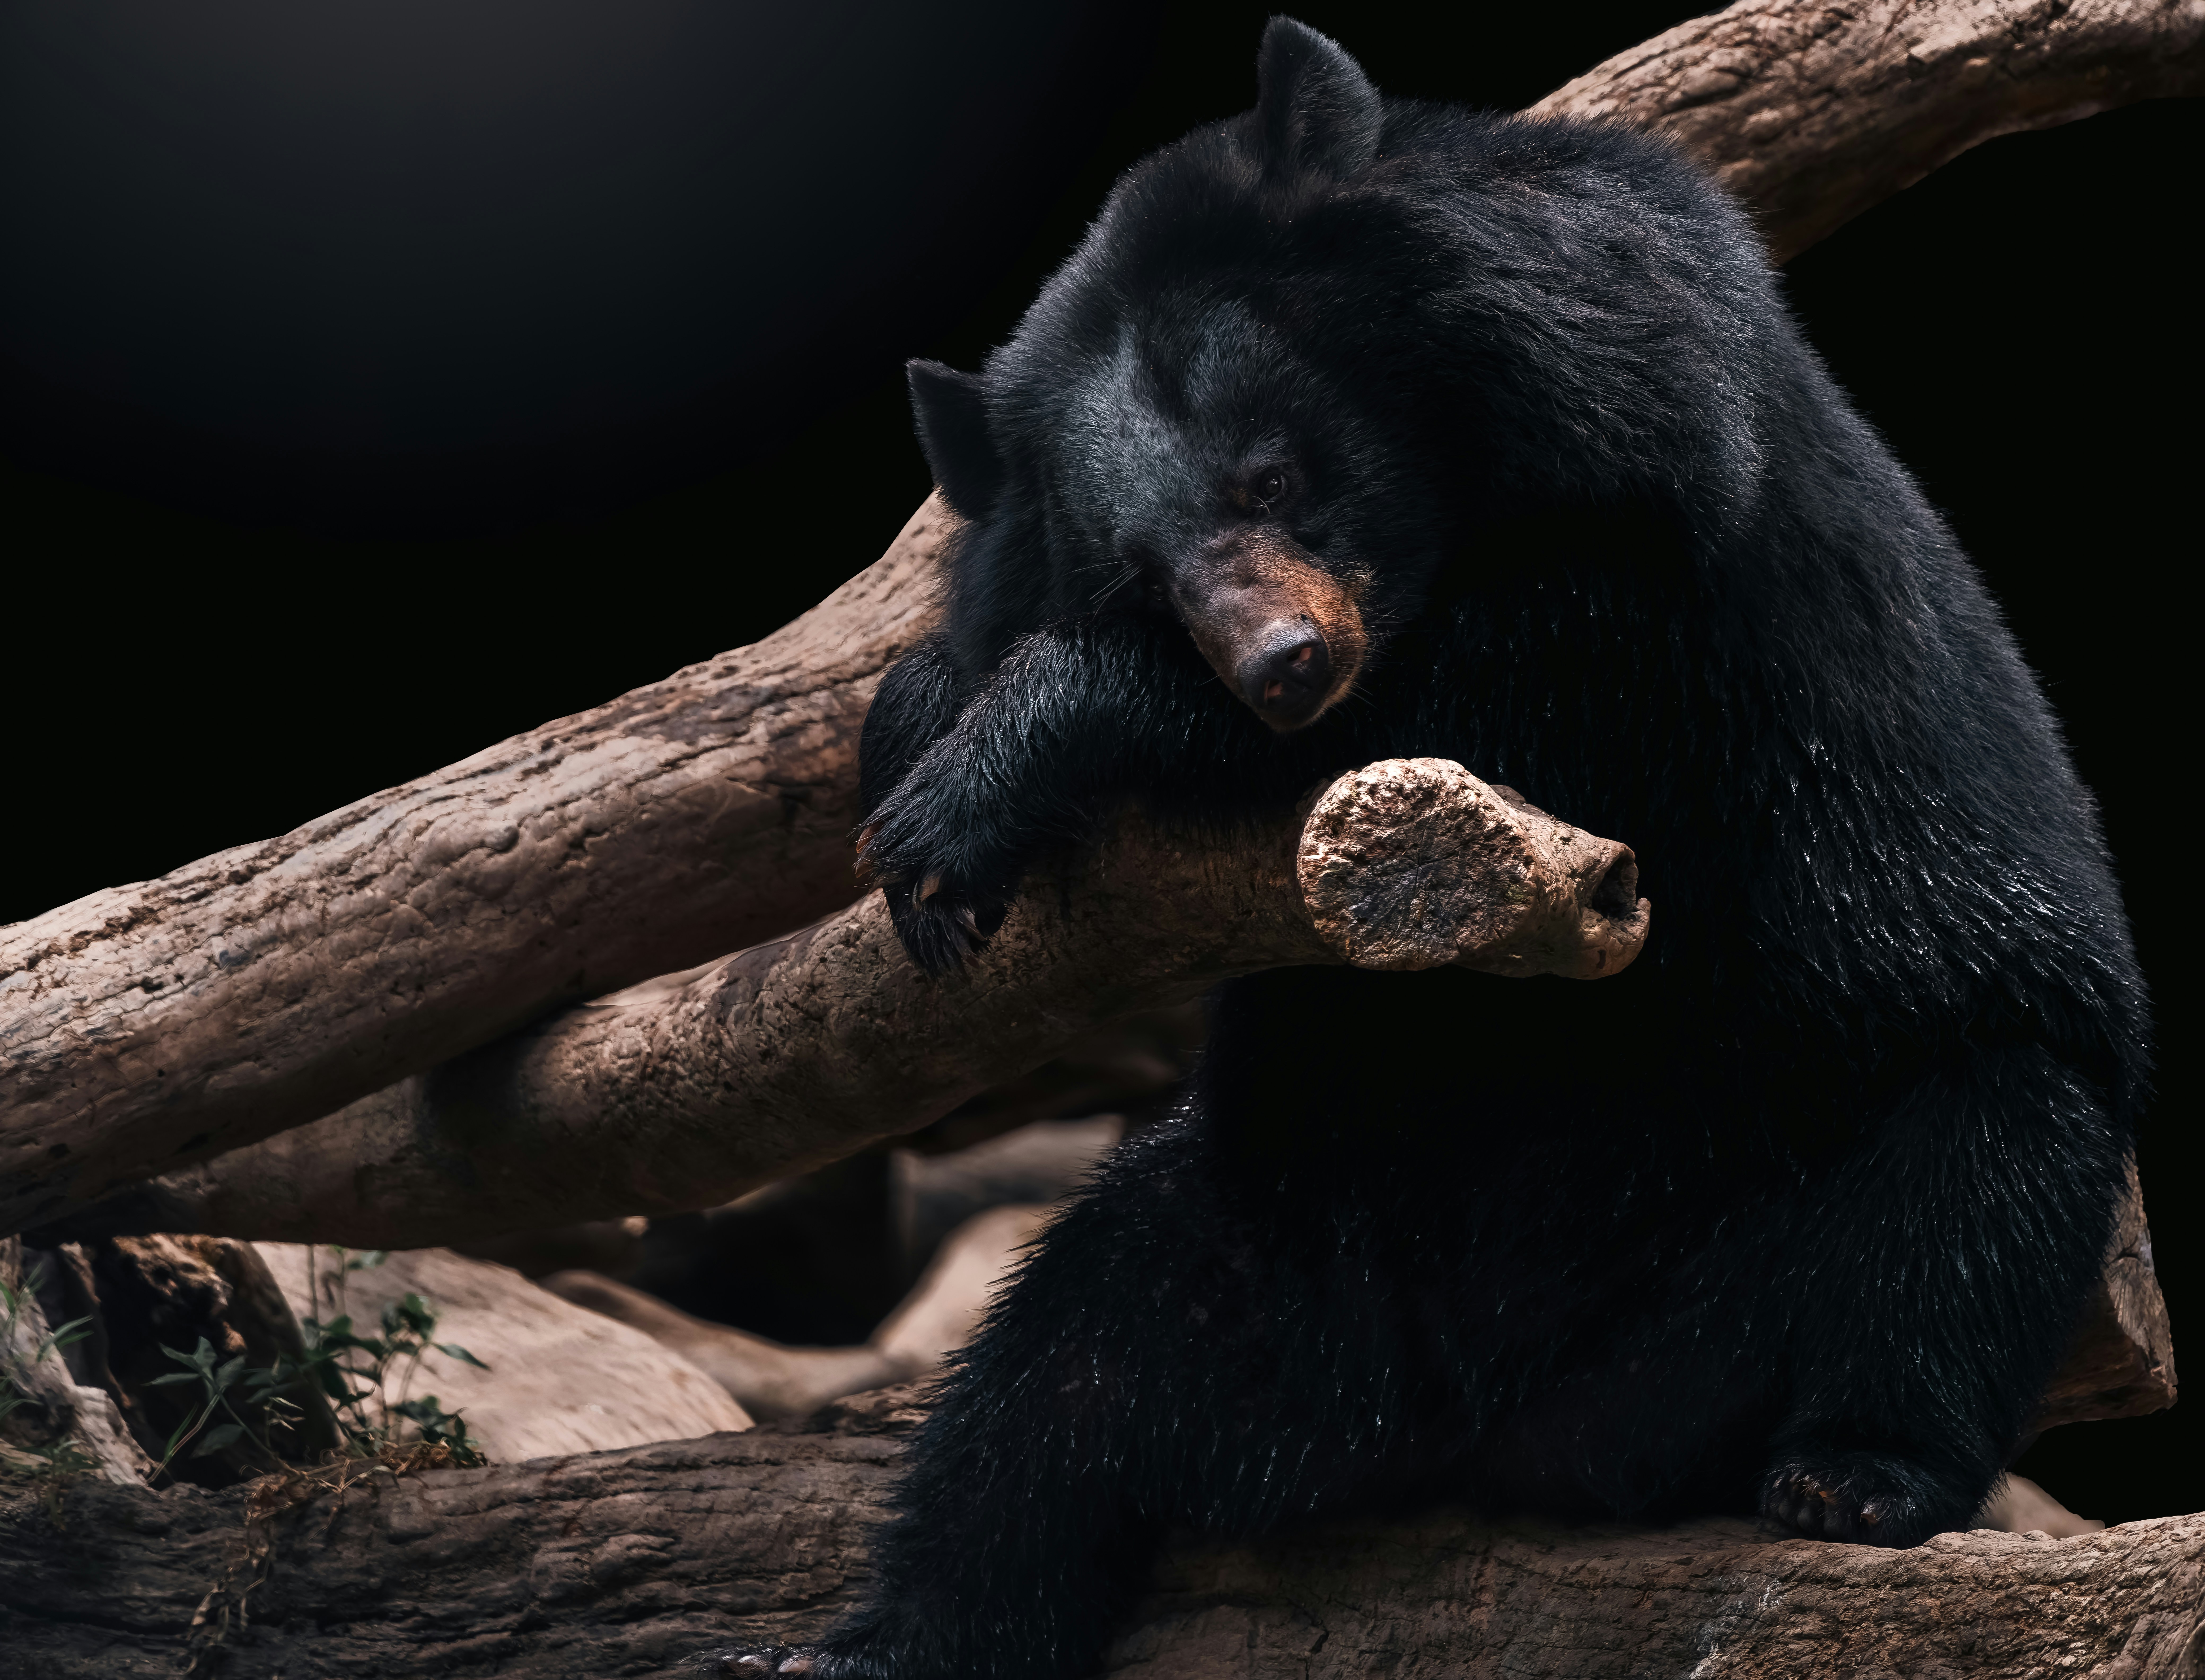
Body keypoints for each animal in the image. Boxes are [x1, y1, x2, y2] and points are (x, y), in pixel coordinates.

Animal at [717, 18, 2148, 1678]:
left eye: (1273, 475)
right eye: (1139, 569)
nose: (1281, 666)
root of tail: (1487, 1426)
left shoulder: (1664, 556)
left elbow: (1501, 680)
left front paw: (989, 776)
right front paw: (926, 753)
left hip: (1830, 1164)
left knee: (1979, 1167)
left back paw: (1850, 1474)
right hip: (1259, 1250)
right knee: (1045, 1387)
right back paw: (878, 1636)